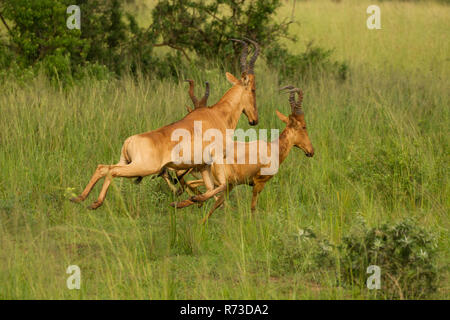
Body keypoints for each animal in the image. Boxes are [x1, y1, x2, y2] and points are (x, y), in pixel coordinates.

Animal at [70, 38, 260, 210]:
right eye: (253, 89)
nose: (254, 120)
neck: (216, 114)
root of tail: (129, 141)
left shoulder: (203, 165)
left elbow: (210, 187)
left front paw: (185, 202)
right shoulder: (216, 158)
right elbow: (221, 185)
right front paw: (189, 201)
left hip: (126, 161)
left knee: (103, 167)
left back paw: (80, 198)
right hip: (142, 167)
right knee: (112, 171)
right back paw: (96, 203)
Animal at [178, 86, 314, 224]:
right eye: (304, 126)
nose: (311, 151)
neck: (271, 148)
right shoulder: (259, 183)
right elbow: (253, 207)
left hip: (222, 181)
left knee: (197, 187)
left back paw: (183, 203)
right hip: (223, 181)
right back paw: (193, 200)